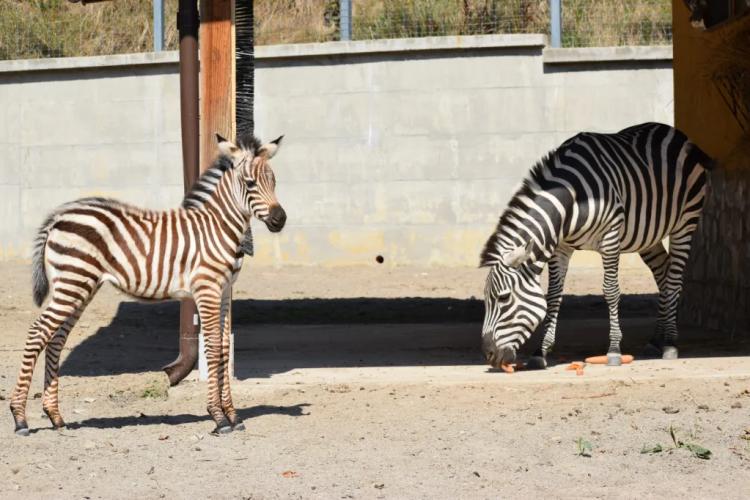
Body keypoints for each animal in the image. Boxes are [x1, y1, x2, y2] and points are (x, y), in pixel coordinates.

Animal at [10, 133, 286, 434]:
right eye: (250, 183)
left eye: (274, 181)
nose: (280, 219)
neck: (217, 227)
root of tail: (58, 217)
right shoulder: (207, 289)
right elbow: (212, 346)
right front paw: (219, 417)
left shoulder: (224, 291)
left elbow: (224, 348)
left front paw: (233, 415)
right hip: (73, 282)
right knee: (37, 333)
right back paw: (20, 418)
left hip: (80, 286)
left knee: (56, 339)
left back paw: (55, 416)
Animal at [482, 122, 716, 370]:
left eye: (503, 298)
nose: (488, 354)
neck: (572, 200)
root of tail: (674, 132)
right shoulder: (561, 247)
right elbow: (553, 295)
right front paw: (541, 352)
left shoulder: (610, 236)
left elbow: (611, 290)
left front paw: (613, 350)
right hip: (648, 236)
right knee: (663, 273)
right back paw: (656, 340)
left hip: (685, 222)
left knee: (673, 280)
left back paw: (670, 343)